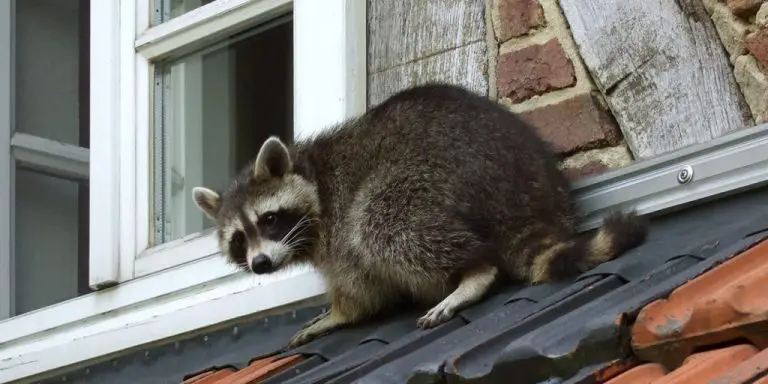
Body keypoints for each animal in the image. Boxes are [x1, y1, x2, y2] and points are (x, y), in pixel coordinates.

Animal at [192, 82, 648, 346]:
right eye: (239, 239)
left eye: (269, 220)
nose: (260, 263)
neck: (312, 174)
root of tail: (523, 194)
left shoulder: (336, 225)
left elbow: (358, 285)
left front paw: (340, 313)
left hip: (432, 174)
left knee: (381, 223)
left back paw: (473, 271)